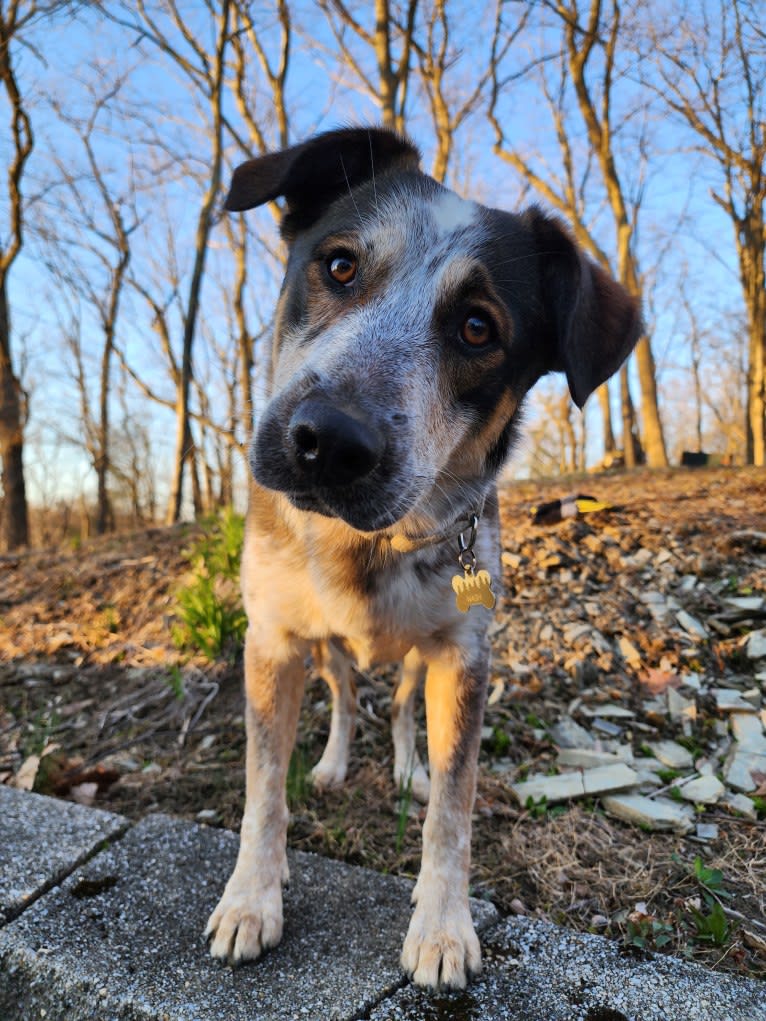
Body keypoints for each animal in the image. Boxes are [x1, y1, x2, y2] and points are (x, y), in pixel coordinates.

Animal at [205, 125, 641, 988]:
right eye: (339, 264)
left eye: (478, 327)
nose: (328, 441)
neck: (369, 542)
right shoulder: (271, 640)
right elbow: (263, 786)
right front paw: (249, 898)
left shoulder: (463, 657)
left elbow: (453, 800)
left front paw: (442, 925)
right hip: (326, 650)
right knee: (345, 698)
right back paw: (334, 764)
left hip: (416, 659)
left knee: (402, 707)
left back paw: (403, 764)